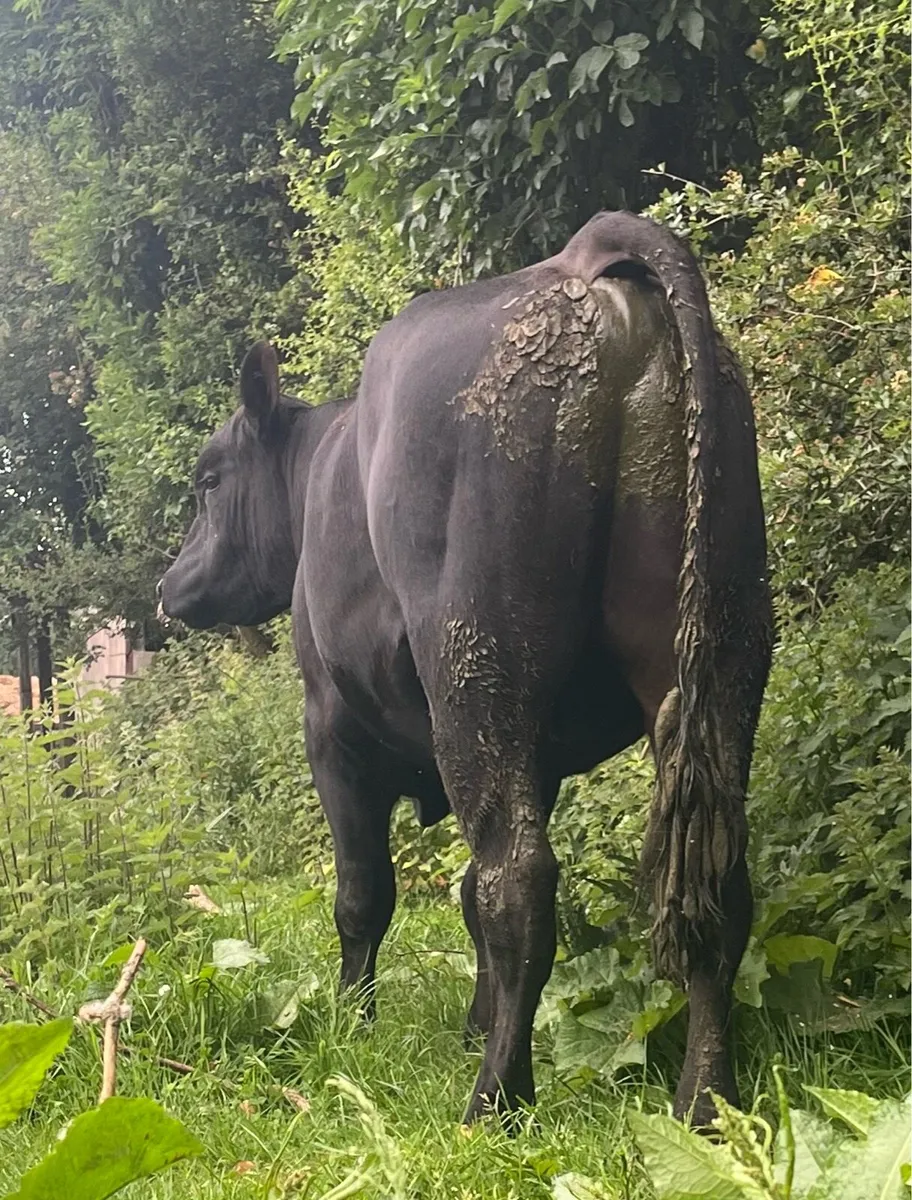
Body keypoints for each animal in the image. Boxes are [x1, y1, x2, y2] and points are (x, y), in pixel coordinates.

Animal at [160, 210, 773, 1128]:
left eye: (207, 480)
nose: (169, 587)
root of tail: (584, 257)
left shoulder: (331, 729)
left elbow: (366, 893)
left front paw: (354, 1021)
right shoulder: (541, 752)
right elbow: (461, 898)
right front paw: (472, 1021)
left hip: (475, 666)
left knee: (519, 879)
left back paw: (496, 1099)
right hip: (715, 652)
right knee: (713, 881)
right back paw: (705, 1103)